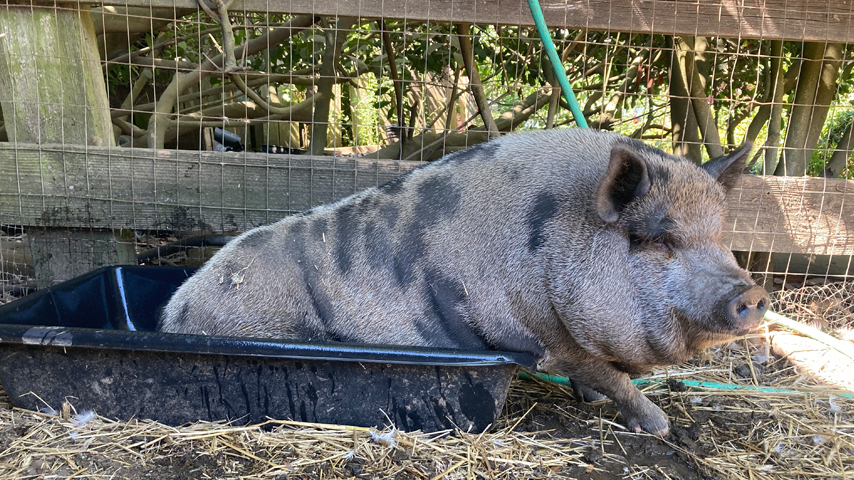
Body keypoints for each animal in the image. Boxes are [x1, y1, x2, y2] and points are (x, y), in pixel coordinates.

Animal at [159, 127, 768, 436]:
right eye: (658, 239)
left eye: (720, 236)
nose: (754, 293)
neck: (550, 254)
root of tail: (175, 311)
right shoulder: (545, 336)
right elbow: (611, 377)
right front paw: (659, 425)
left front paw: (594, 402)